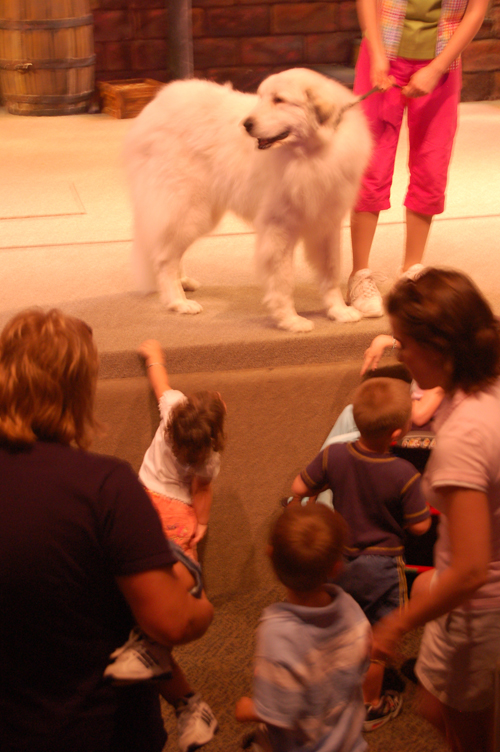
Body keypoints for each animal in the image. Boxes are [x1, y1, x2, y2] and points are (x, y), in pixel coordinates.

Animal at [125, 68, 374, 332]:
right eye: (261, 97)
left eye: (279, 100)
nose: (246, 125)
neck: (310, 155)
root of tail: (155, 106)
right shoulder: (279, 226)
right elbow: (283, 278)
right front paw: (289, 320)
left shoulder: (327, 224)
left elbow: (331, 272)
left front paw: (338, 311)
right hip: (188, 209)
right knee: (163, 258)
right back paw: (178, 302)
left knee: (170, 252)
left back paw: (182, 282)